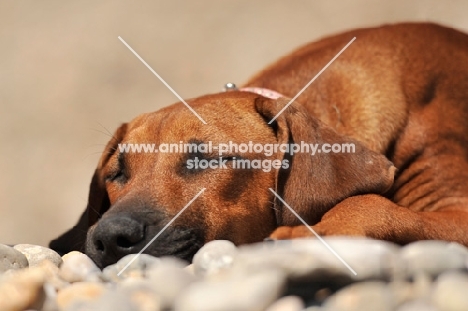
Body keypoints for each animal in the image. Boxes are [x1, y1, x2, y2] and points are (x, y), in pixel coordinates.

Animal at [50, 23, 468, 268]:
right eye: (116, 173)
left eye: (204, 159)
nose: (109, 237)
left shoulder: (455, 207)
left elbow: (369, 204)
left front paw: (304, 236)